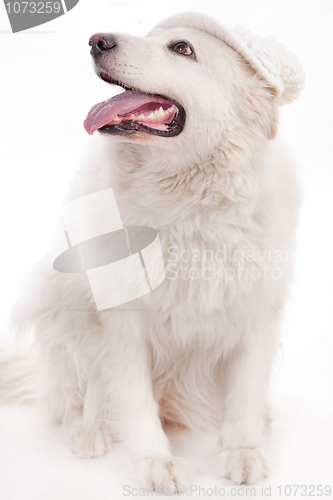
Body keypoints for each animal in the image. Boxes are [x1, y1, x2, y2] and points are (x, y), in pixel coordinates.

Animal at [4, 12, 304, 488]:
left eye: (182, 48)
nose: (97, 41)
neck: (187, 204)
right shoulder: (121, 324)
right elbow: (134, 400)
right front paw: (155, 463)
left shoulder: (256, 314)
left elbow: (245, 393)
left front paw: (242, 450)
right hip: (61, 297)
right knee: (82, 394)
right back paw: (89, 432)